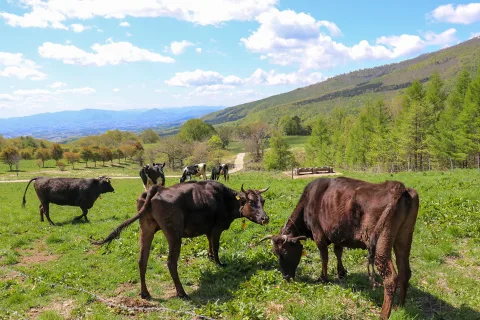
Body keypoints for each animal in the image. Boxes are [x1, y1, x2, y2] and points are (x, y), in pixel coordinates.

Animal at [92, 181, 268, 298]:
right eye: (251, 201)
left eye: (263, 201)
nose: (265, 218)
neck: (225, 199)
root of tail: (157, 189)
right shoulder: (217, 227)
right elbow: (216, 246)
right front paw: (219, 263)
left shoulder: (209, 229)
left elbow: (210, 245)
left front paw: (211, 259)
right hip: (174, 234)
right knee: (171, 262)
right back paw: (182, 292)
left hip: (146, 229)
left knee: (142, 259)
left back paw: (145, 293)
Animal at [260, 178, 418, 320]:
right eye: (275, 253)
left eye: (285, 252)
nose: (286, 277)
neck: (308, 200)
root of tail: (398, 187)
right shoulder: (337, 234)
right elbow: (338, 252)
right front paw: (341, 272)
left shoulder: (319, 234)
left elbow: (324, 257)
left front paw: (323, 278)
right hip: (404, 237)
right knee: (405, 271)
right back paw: (400, 306)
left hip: (382, 243)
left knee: (390, 278)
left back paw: (383, 314)